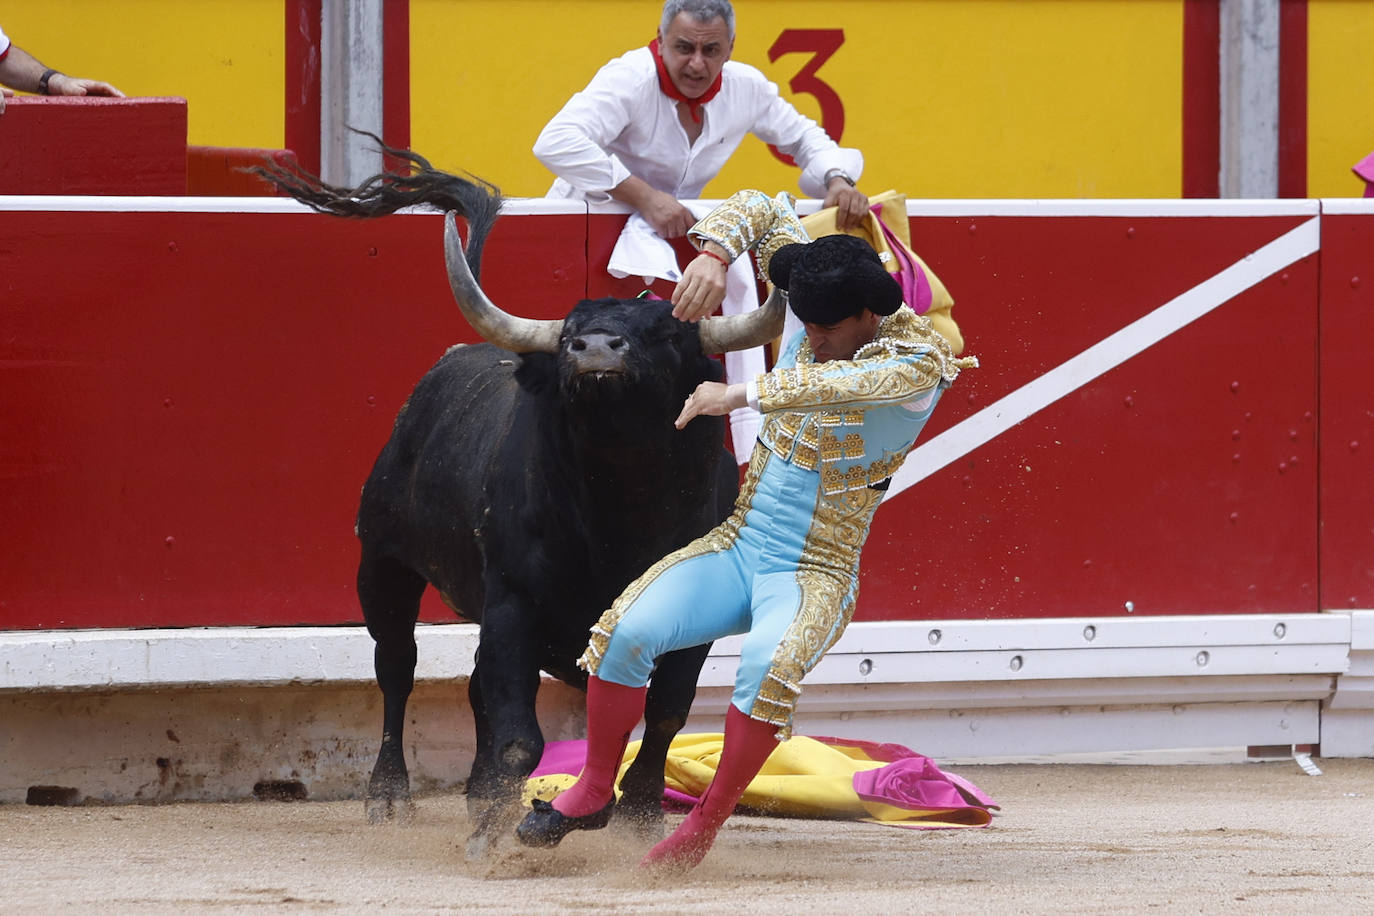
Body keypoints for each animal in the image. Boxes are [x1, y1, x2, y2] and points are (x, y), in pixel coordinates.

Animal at [265, 152, 785, 862]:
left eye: (665, 334)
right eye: (569, 332)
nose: (595, 350)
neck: (620, 508)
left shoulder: (690, 619)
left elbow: (664, 714)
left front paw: (636, 817)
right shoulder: (513, 602)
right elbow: (519, 733)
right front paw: (494, 830)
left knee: (473, 685)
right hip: (382, 565)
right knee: (398, 669)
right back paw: (390, 797)